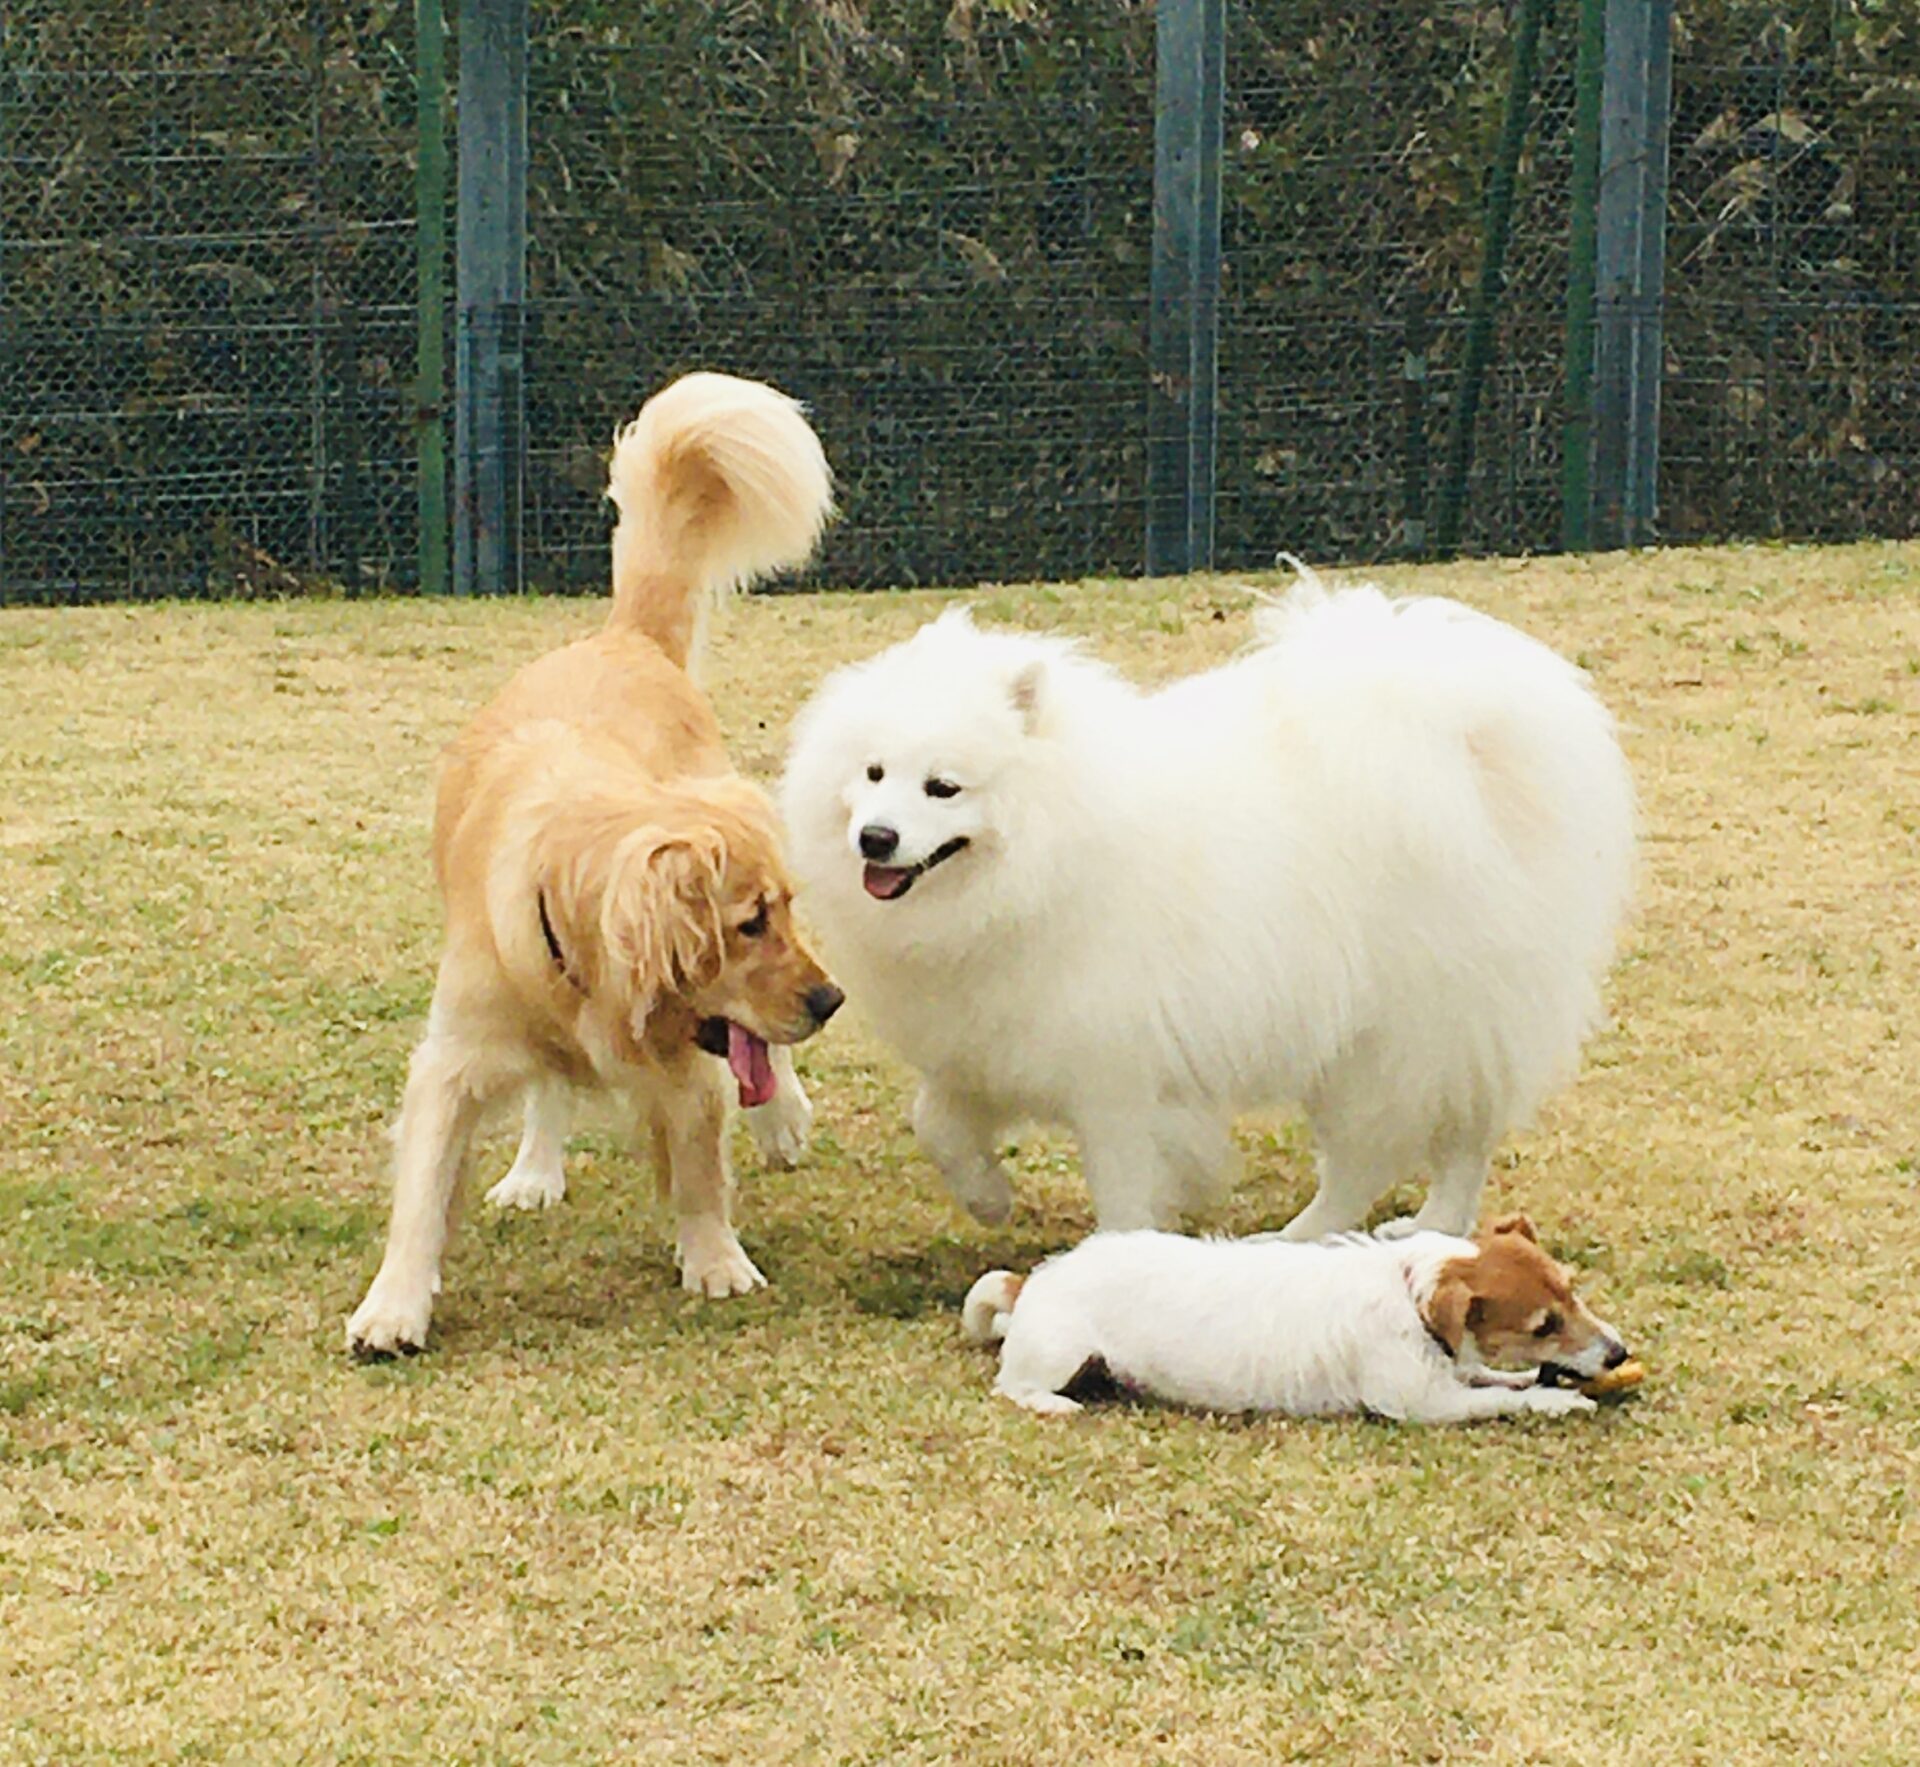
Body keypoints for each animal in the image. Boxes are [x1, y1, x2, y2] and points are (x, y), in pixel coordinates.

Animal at [347, 373, 841, 1357]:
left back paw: (782, 1116)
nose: (831, 1000)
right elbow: (421, 1191)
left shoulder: (689, 1059)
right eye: (747, 924)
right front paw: (394, 1303)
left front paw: (716, 1259)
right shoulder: (455, 1056)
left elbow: (701, 1159)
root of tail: (625, 637)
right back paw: (535, 1169)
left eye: (782, 911)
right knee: (550, 1089)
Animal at [780, 573, 1634, 1238]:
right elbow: (937, 1124)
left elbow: (1124, 1186)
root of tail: (1472, 749)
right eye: (873, 772)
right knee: (1459, 1140)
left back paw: (1305, 1239)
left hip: (1394, 1040)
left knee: (1377, 1156)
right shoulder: (986, 1043)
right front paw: (988, 1199)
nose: (875, 837)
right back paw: (1426, 1228)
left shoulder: (1117, 1075)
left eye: (944, 787)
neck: (1047, 854)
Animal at [962, 1214, 1629, 1421]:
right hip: (1059, 1353)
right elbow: (1495, 1400)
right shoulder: (1423, 1404)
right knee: (1011, 1385)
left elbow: (1490, 1376)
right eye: (1544, 1324)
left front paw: (1524, 1377)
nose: (1619, 1354)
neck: (1409, 1288)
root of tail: (1033, 1280)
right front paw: (1554, 1399)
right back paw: (1054, 1404)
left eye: (1572, 1290)